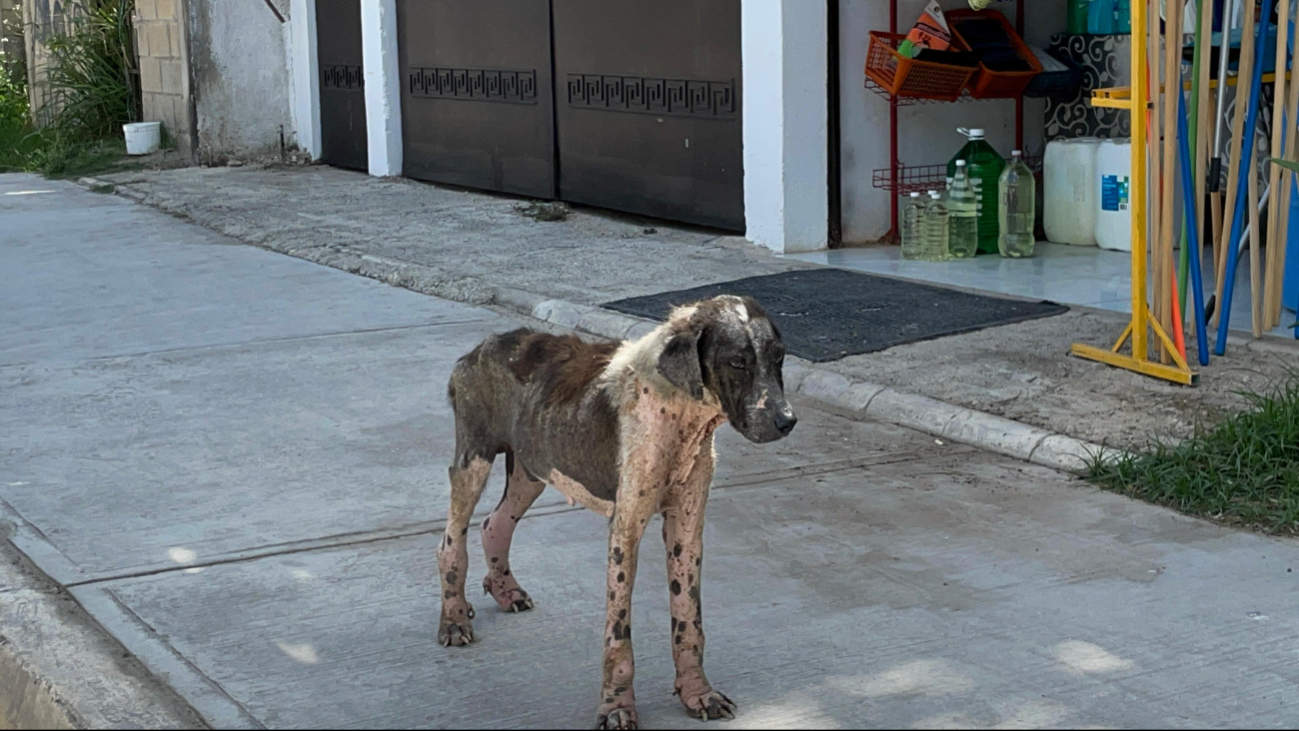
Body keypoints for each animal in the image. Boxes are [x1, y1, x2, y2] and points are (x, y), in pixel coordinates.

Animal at [441, 294, 794, 727]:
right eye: (738, 362)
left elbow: (688, 619)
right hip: (473, 462)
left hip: (531, 471)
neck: (678, 409)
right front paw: (617, 707)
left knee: (494, 523)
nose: (787, 421)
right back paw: (453, 618)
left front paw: (697, 693)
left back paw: (506, 590)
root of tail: (481, 348)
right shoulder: (625, 531)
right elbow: (618, 635)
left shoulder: (687, 528)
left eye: (779, 358)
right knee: (450, 541)